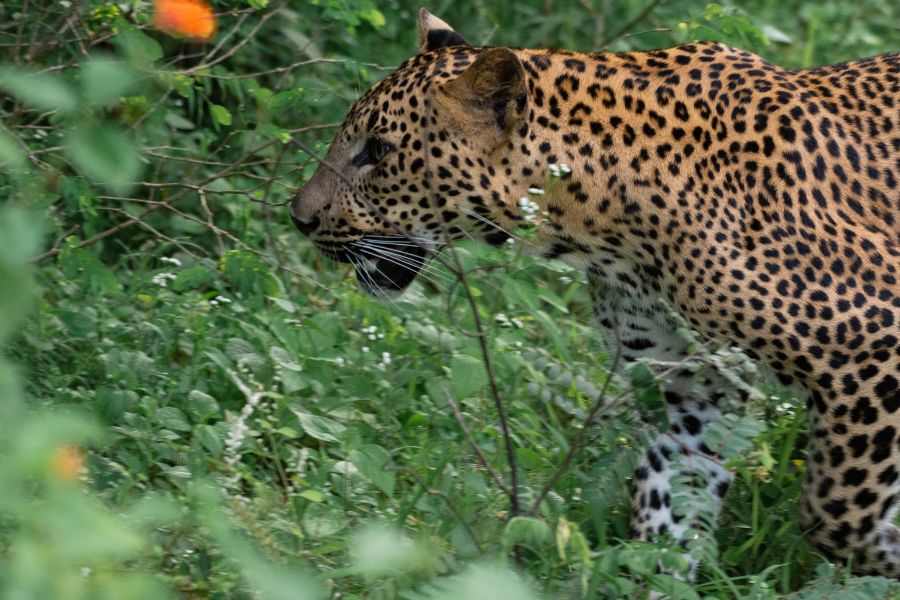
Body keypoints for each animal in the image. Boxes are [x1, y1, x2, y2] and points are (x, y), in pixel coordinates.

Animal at [290, 5, 900, 576]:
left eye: (377, 151)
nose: (298, 217)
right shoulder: (688, 383)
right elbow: (667, 508)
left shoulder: (870, 349)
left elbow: (836, 512)